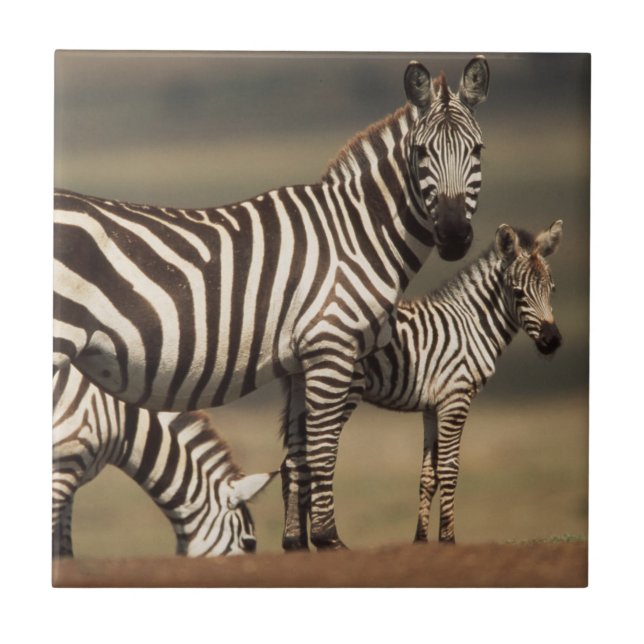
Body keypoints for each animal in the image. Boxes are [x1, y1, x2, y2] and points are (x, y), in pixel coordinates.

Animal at [282, 220, 563, 544]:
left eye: (552, 289)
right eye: (518, 293)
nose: (552, 341)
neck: (472, 324)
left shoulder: (432, 406)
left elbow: (429, 475)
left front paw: (420, 540)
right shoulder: (456, 397)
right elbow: (450, 469)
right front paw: (448, 539)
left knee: (292, 462)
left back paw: (295, 544)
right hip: (338, 389)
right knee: (309, 457)